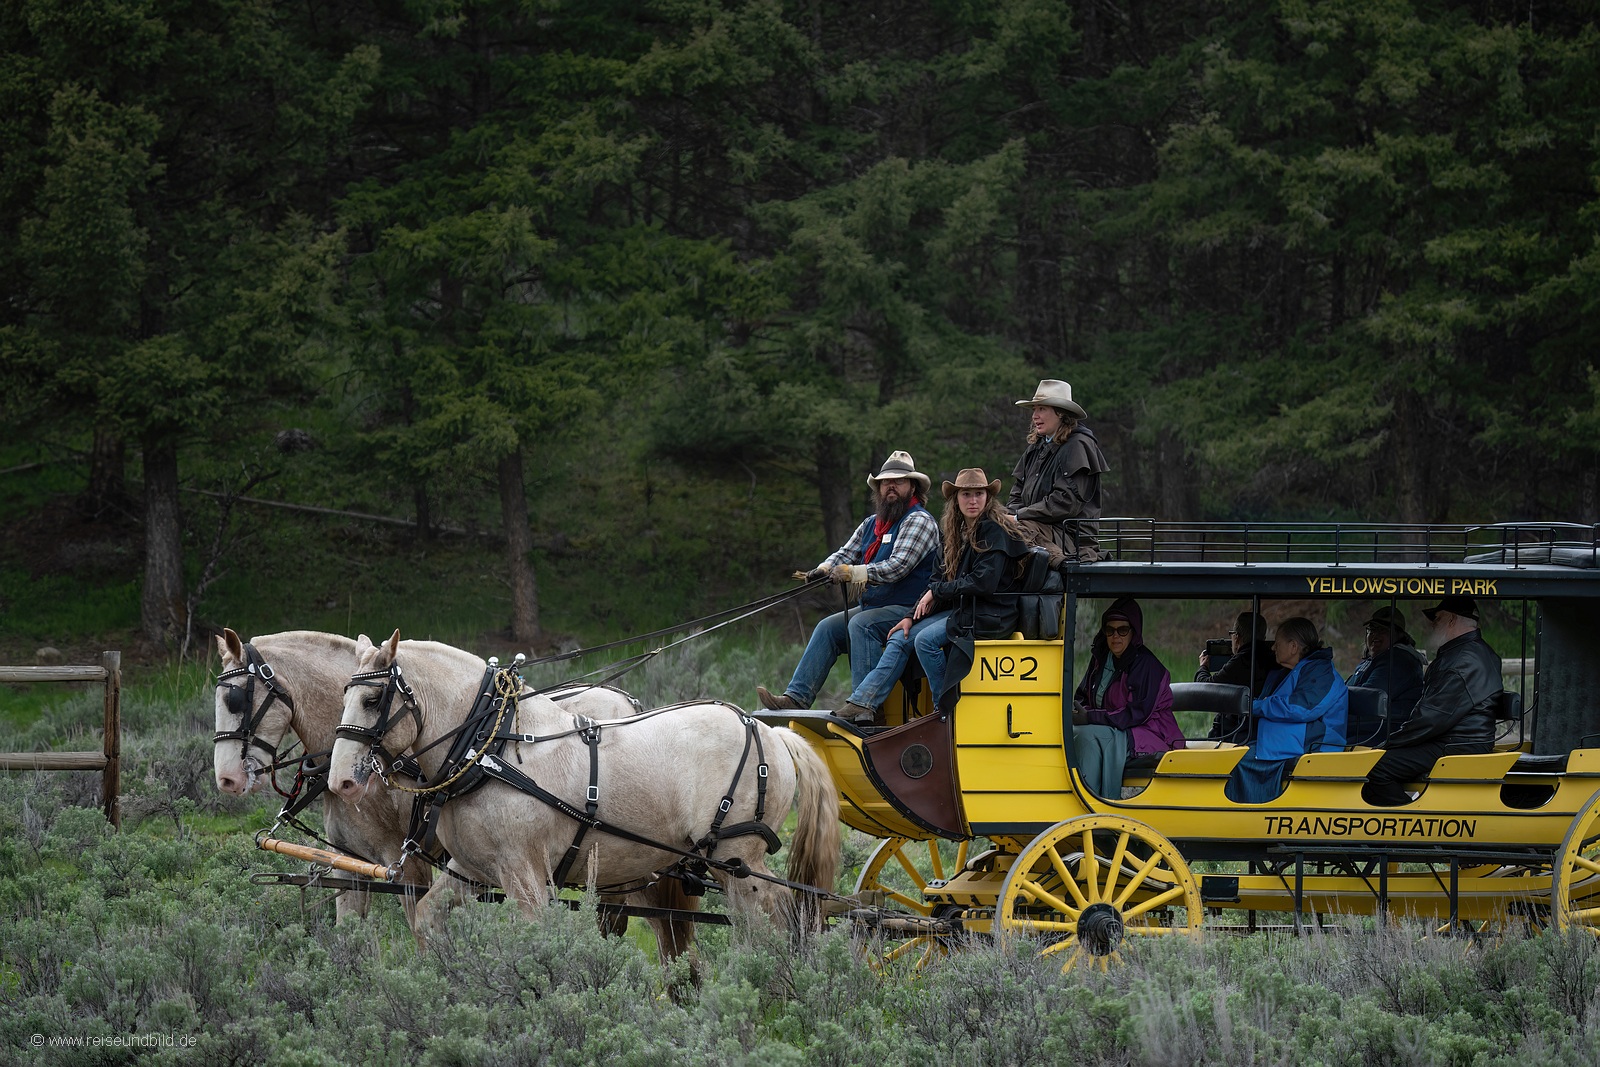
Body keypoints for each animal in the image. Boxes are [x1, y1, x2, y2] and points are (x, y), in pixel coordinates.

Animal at [329, 630, 844, 947]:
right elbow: (426, 919)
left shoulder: (526, 878)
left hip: (738, 859)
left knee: (774, 922)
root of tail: (770, 730)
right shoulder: (471, 870)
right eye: (344, 695)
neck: (491, 747)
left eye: (373, 699)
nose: (341, 781)